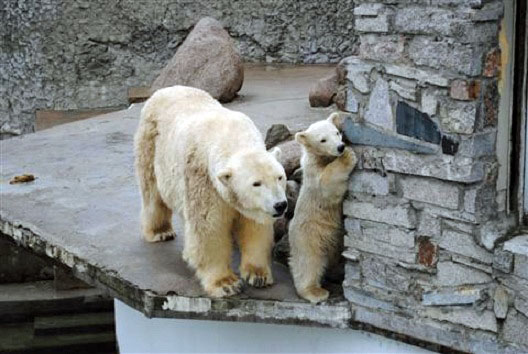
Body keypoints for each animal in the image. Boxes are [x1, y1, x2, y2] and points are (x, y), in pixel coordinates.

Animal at [134, 87, 286, 298]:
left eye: (280, 177)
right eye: (256, 183)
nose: (281, 205)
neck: (231, 136)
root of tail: (163, 90)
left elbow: (253, 227)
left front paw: (258, 275)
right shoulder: (204, 179)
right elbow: (209, 228)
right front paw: (226, 284)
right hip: (151, 143)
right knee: (152, 192)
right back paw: (160, 231)